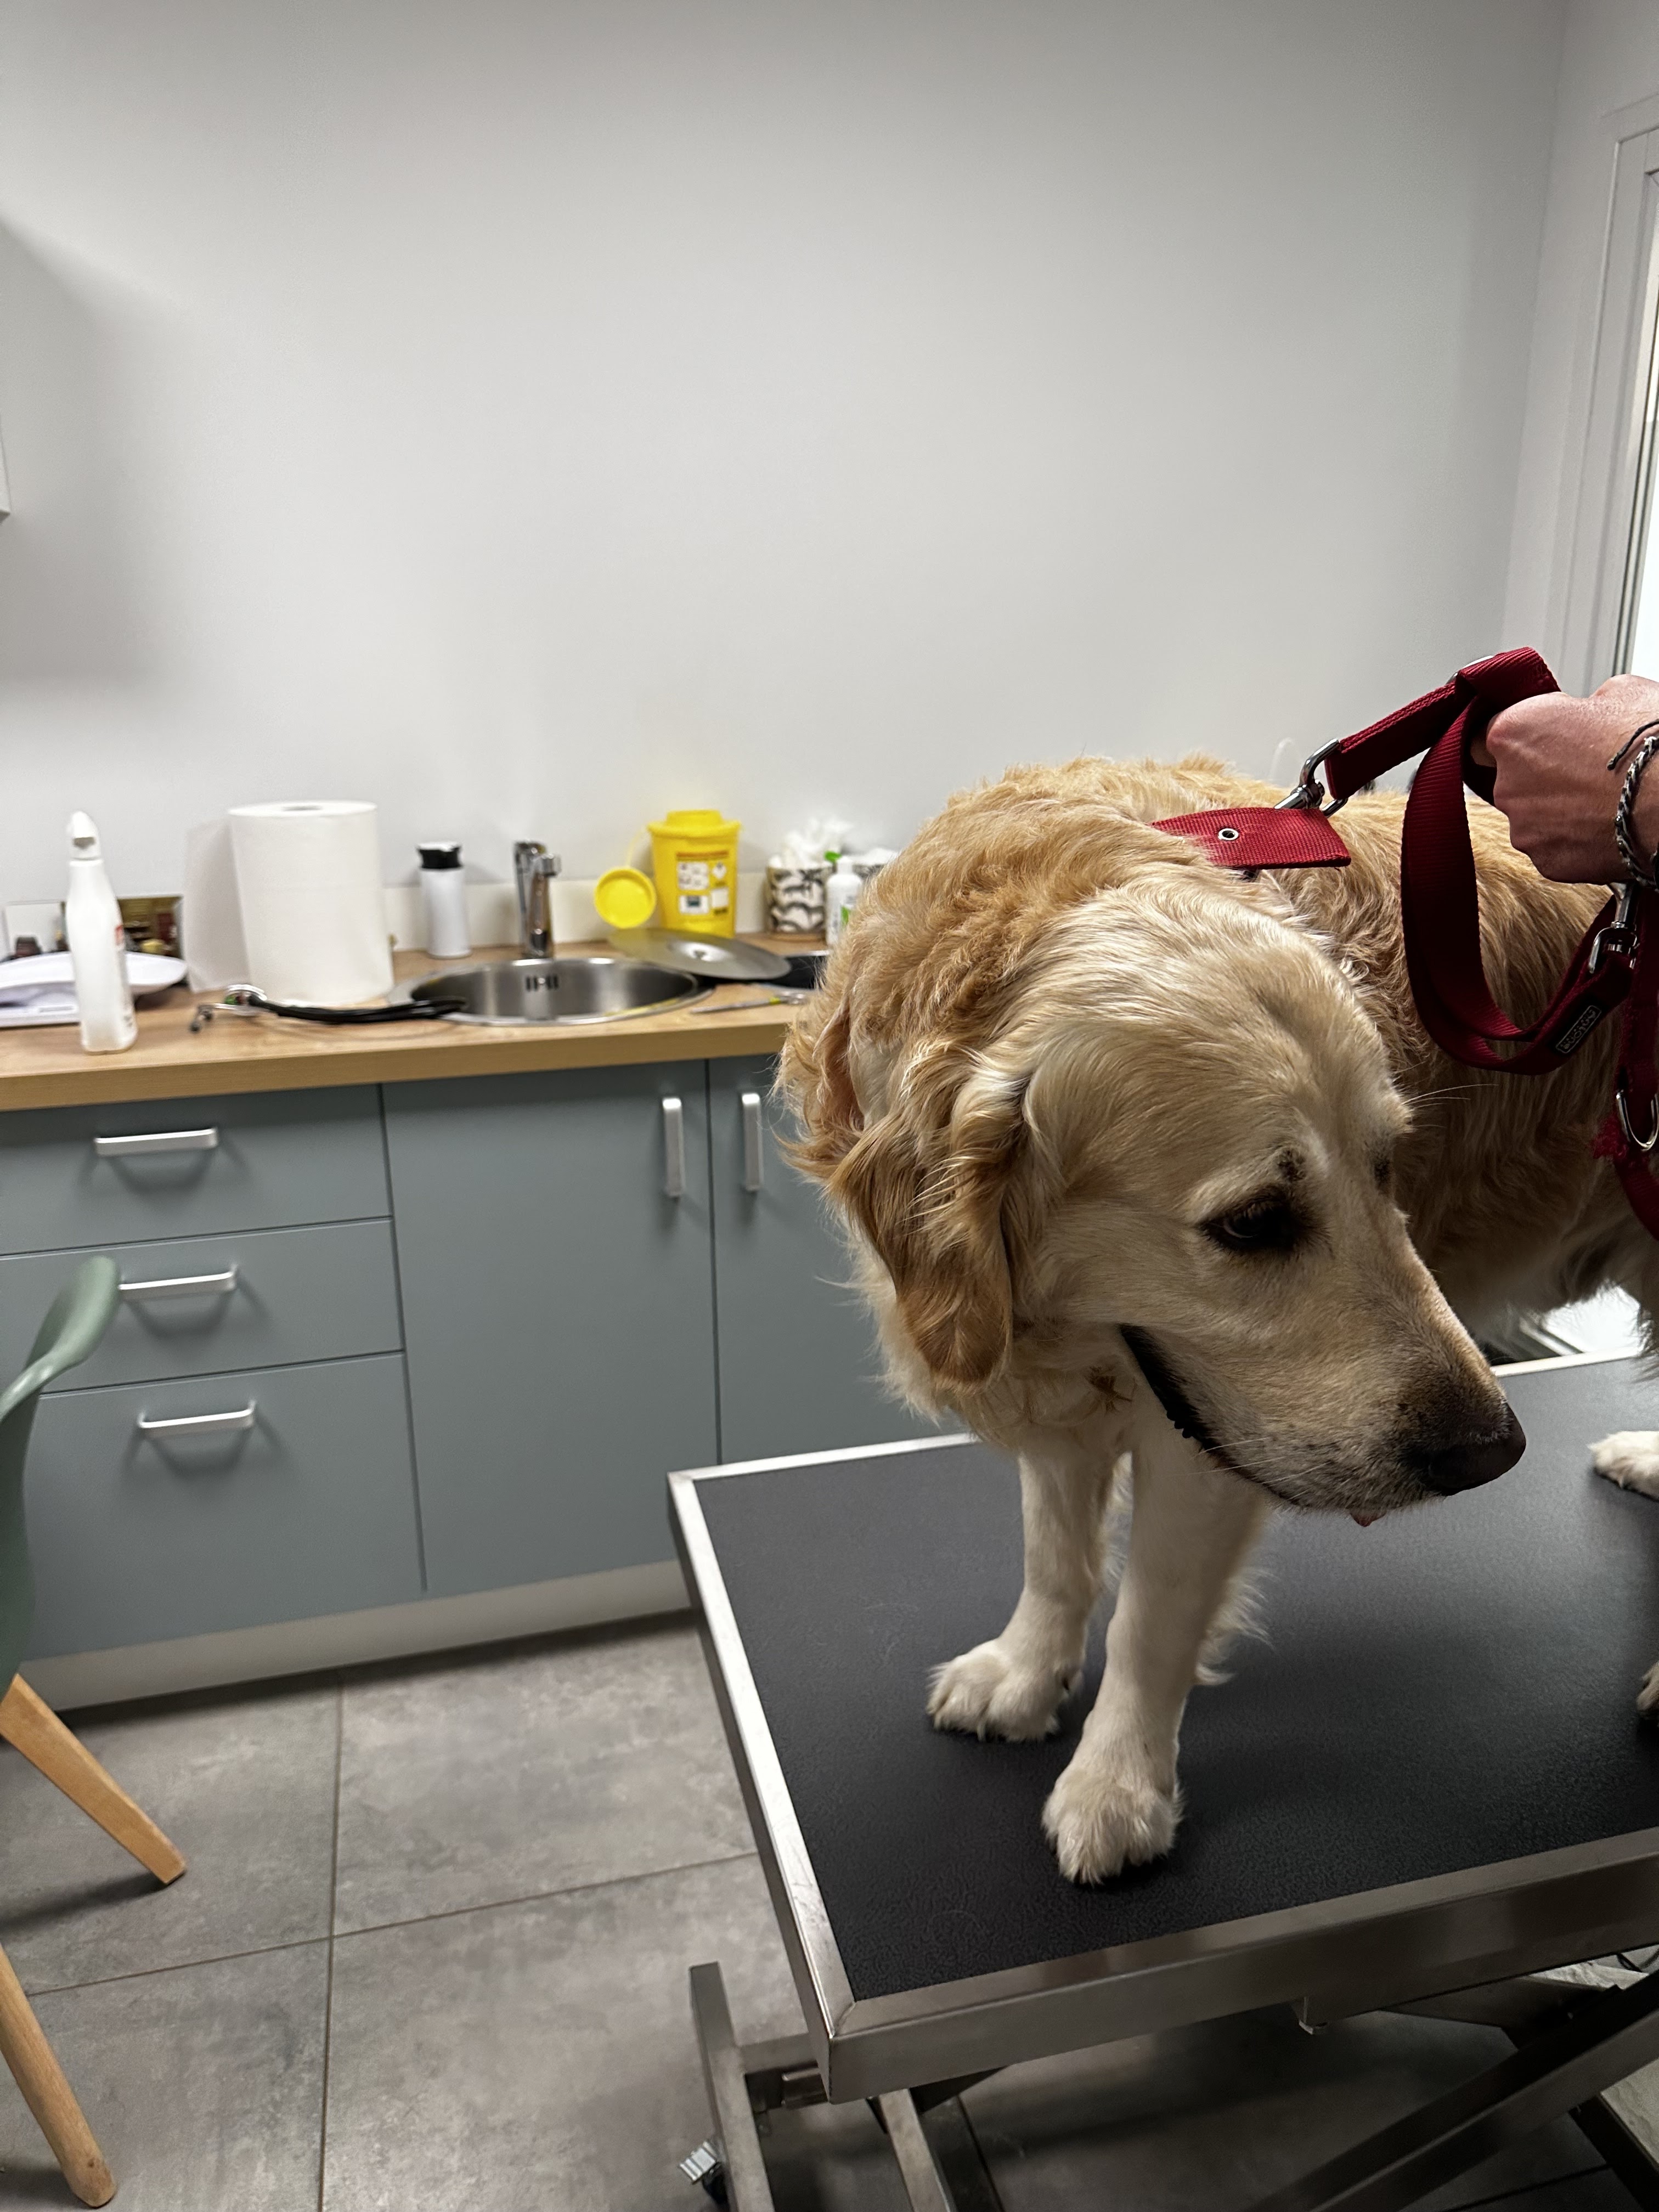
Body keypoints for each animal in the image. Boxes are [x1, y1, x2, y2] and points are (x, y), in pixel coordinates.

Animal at [779, 751, 1659, 1884]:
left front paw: (1115, 1787)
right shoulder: (1057, 1386)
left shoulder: (1209, 1430)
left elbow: (1148, 1620)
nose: (1491, 1451)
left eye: (1385, 1167)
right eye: (1252, 1221)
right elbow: (1053, 1554)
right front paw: (1024, 1673)